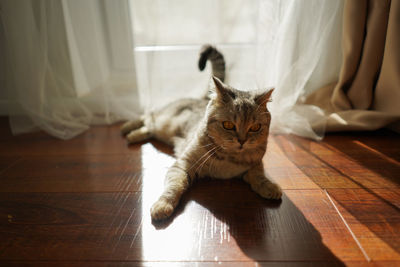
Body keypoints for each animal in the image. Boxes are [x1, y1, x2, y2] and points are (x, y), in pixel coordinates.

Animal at [122, 45, 282, 222]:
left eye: (255, 127)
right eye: (228, 125)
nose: (242, 140)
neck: (229, 159)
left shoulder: (255, 164)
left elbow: (259, 175)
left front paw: (269, 186)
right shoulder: (183, 164)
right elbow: (174, 185)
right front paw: (163, 204)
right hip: (164, 122)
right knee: (148, 116)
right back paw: (129, 129)